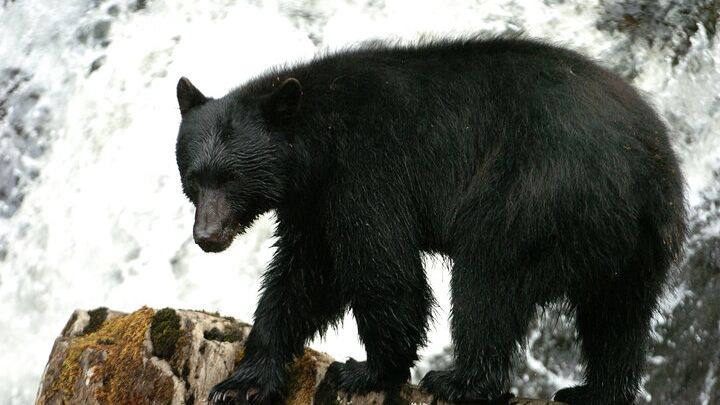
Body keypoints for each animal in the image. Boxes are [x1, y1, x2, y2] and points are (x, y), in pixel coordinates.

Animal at [175, 36, 686, 405]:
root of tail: (643, 168)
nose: (206, 236)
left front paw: (365, 369)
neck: (318, 141)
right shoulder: (313, 203)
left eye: (232, 177)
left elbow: (383, 269)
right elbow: (302, 278)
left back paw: (460, 381)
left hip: (535, 191)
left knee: (488, 280)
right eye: (194, 177)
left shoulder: (366, 172)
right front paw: (244, 379)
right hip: (640, 244)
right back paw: (594, 390)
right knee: (618, 316)